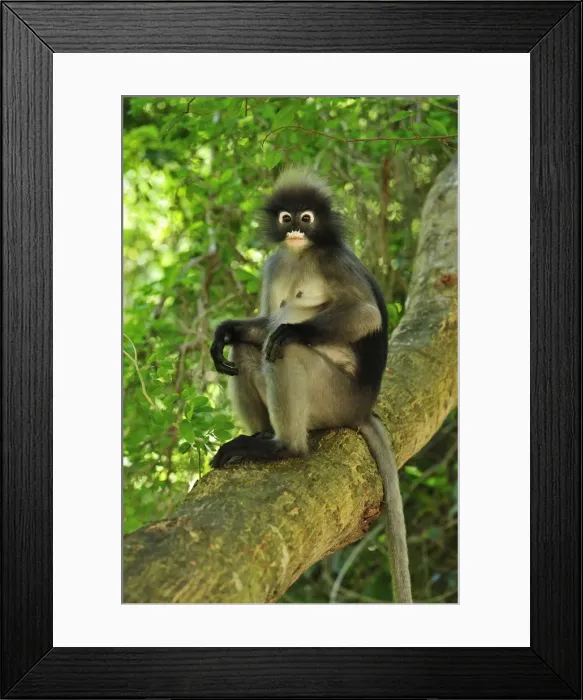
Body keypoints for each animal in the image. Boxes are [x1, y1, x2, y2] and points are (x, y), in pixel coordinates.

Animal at [209, 168, 412, 603]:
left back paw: (284, 447)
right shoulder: (275, 263)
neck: (300, 255)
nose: (296, 231)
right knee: (250, 348)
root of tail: (362, 407)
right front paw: (225, 329)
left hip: (333, 396)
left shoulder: (333, 259)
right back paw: (263, 432)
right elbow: (262, 320)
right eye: (287, 218)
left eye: (307, 218)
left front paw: (292, 329)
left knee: (284, 350)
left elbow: (365, 314)